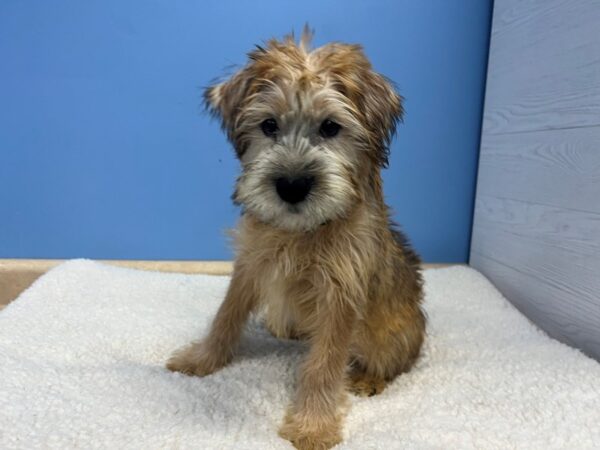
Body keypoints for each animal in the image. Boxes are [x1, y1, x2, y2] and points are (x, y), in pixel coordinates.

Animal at [166, 29, 424, 450]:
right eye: (269, 125)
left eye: (331, 127)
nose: (291, 185)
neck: (301, 232)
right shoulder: (251, 263)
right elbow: (226, 315)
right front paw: (202, 359)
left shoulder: (340, 292)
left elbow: (324, 363)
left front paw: (312, 425)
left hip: (392, 334)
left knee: (393, 362)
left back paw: (369, 378)